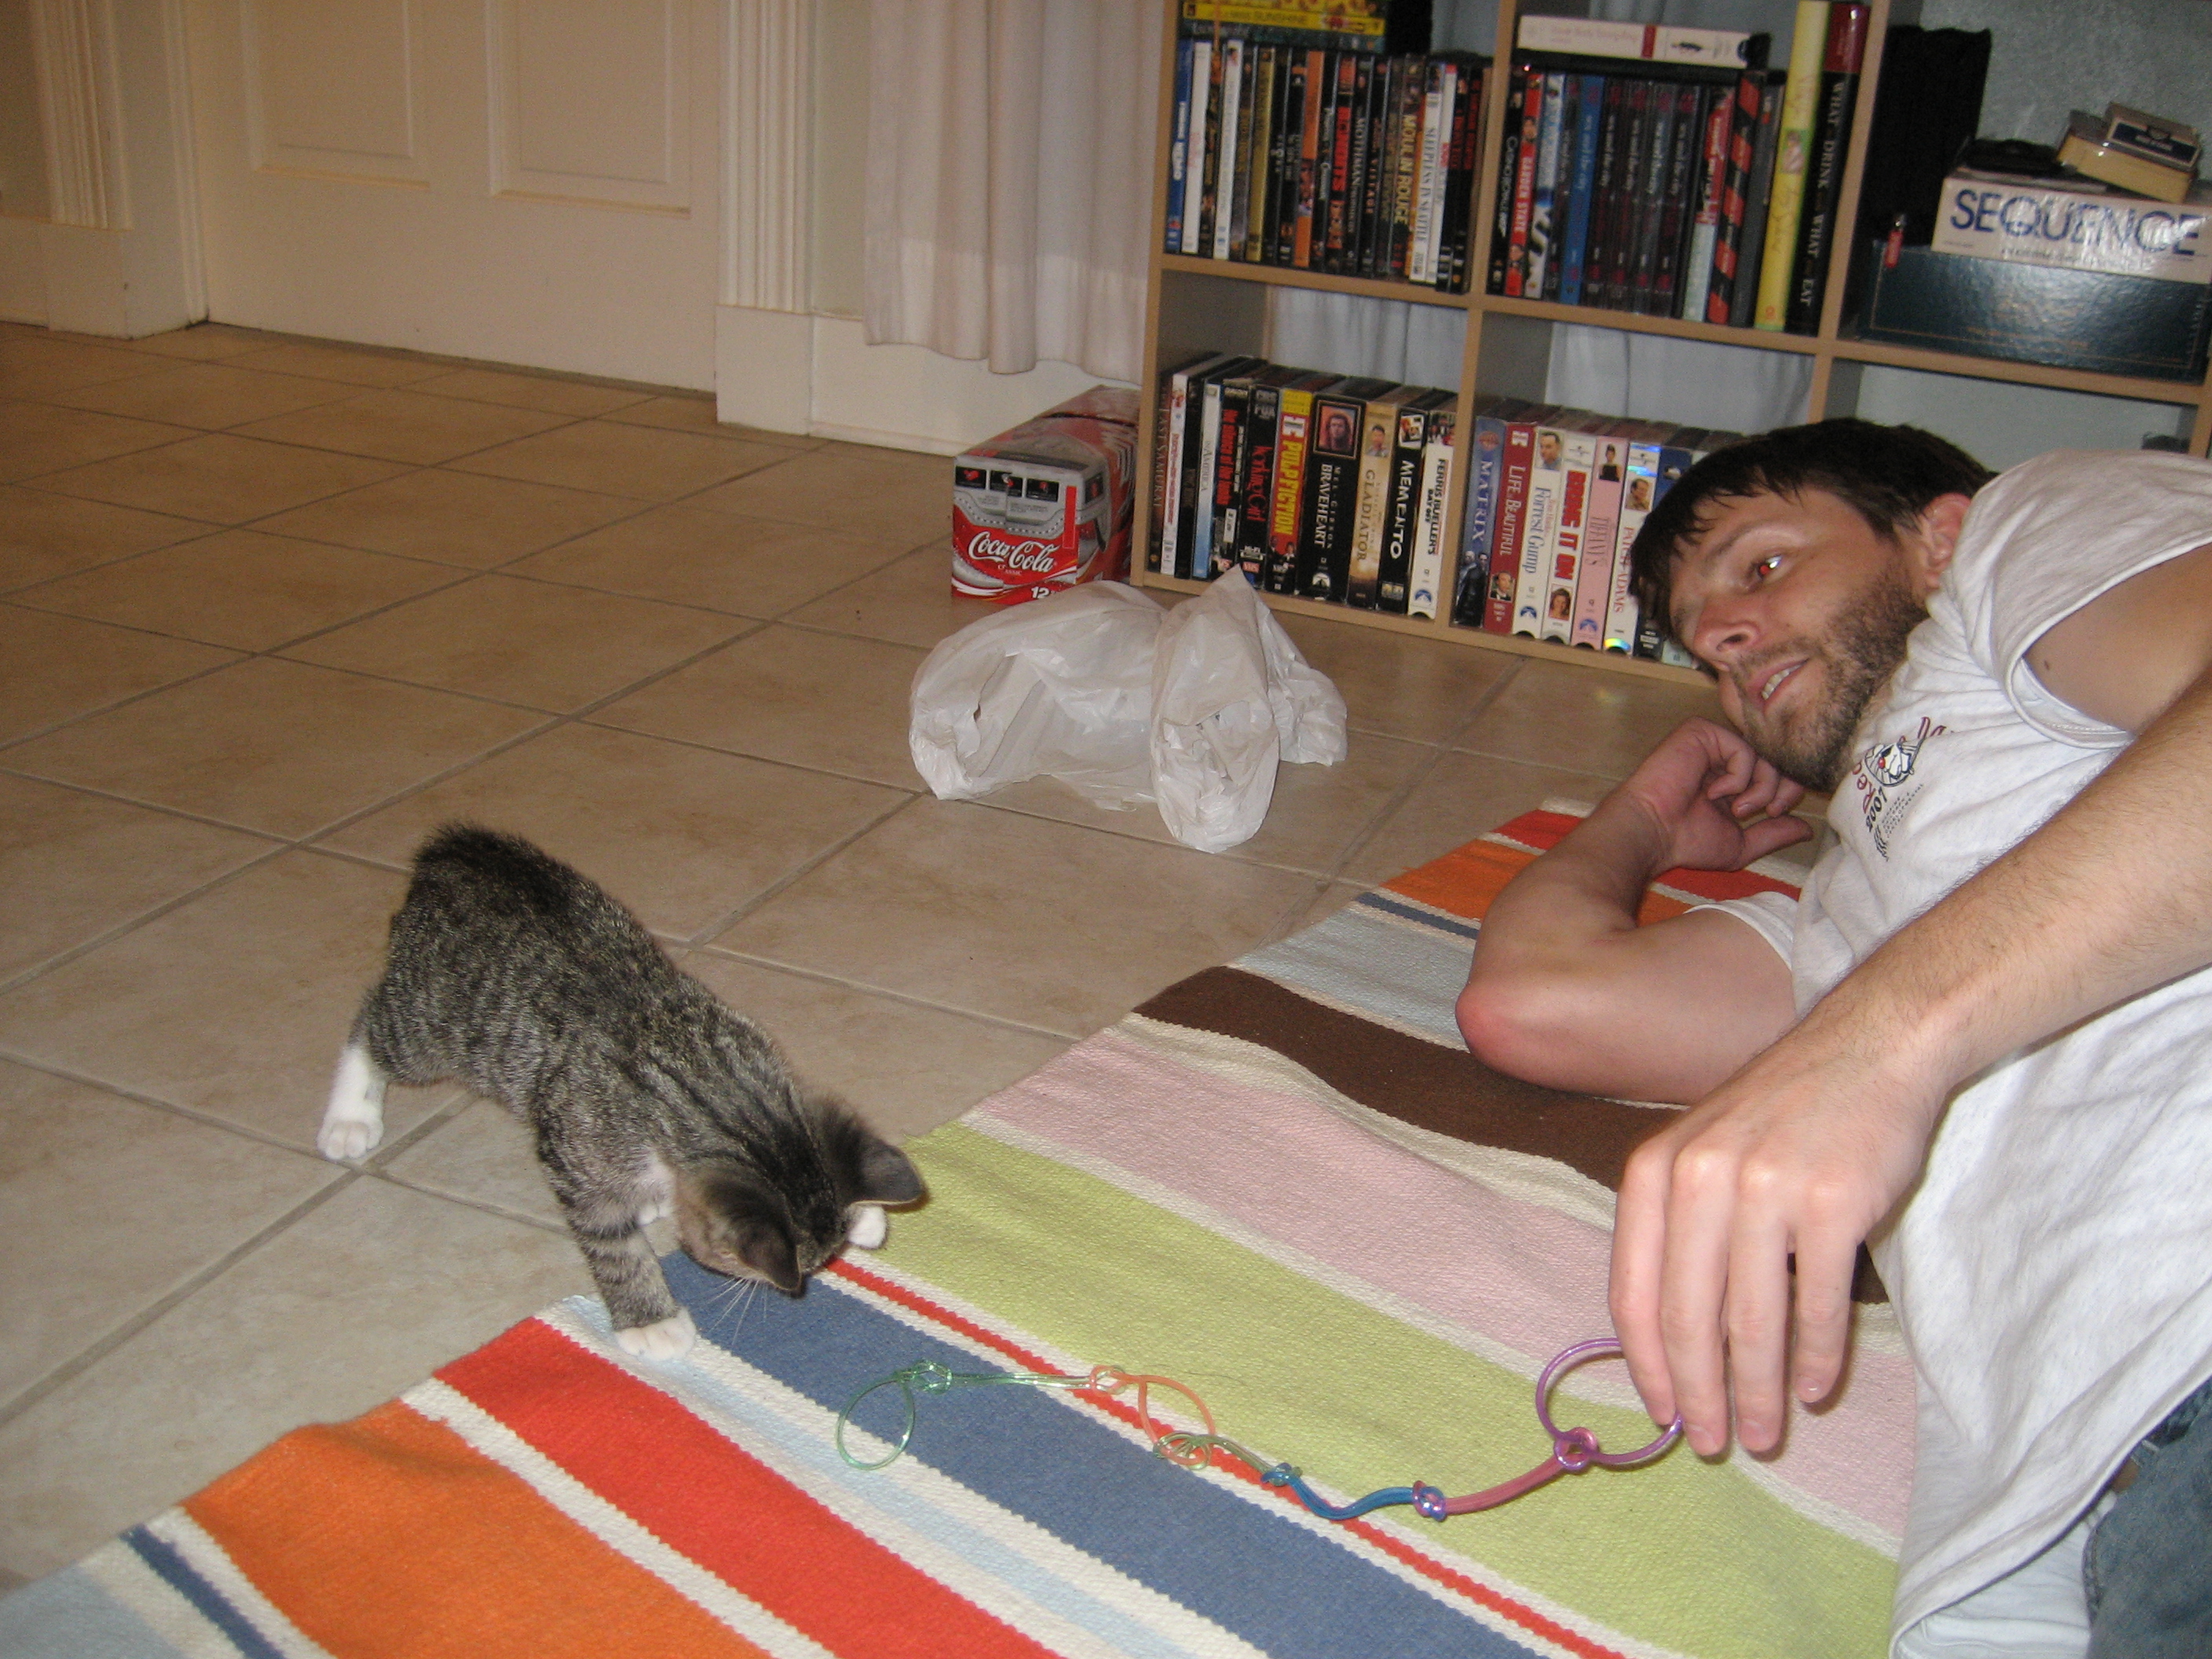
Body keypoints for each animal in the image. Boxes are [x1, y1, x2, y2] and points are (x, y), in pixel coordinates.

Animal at [318, 823, 924, 1361]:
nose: (796, 1282)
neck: (712, 1087)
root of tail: (457, 856)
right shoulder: (573, 1155)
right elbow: (612, 1245)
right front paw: (650, 1319)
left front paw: (864, 1215)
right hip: (432, 1025)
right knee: (373, 1024)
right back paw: (349, 1117)